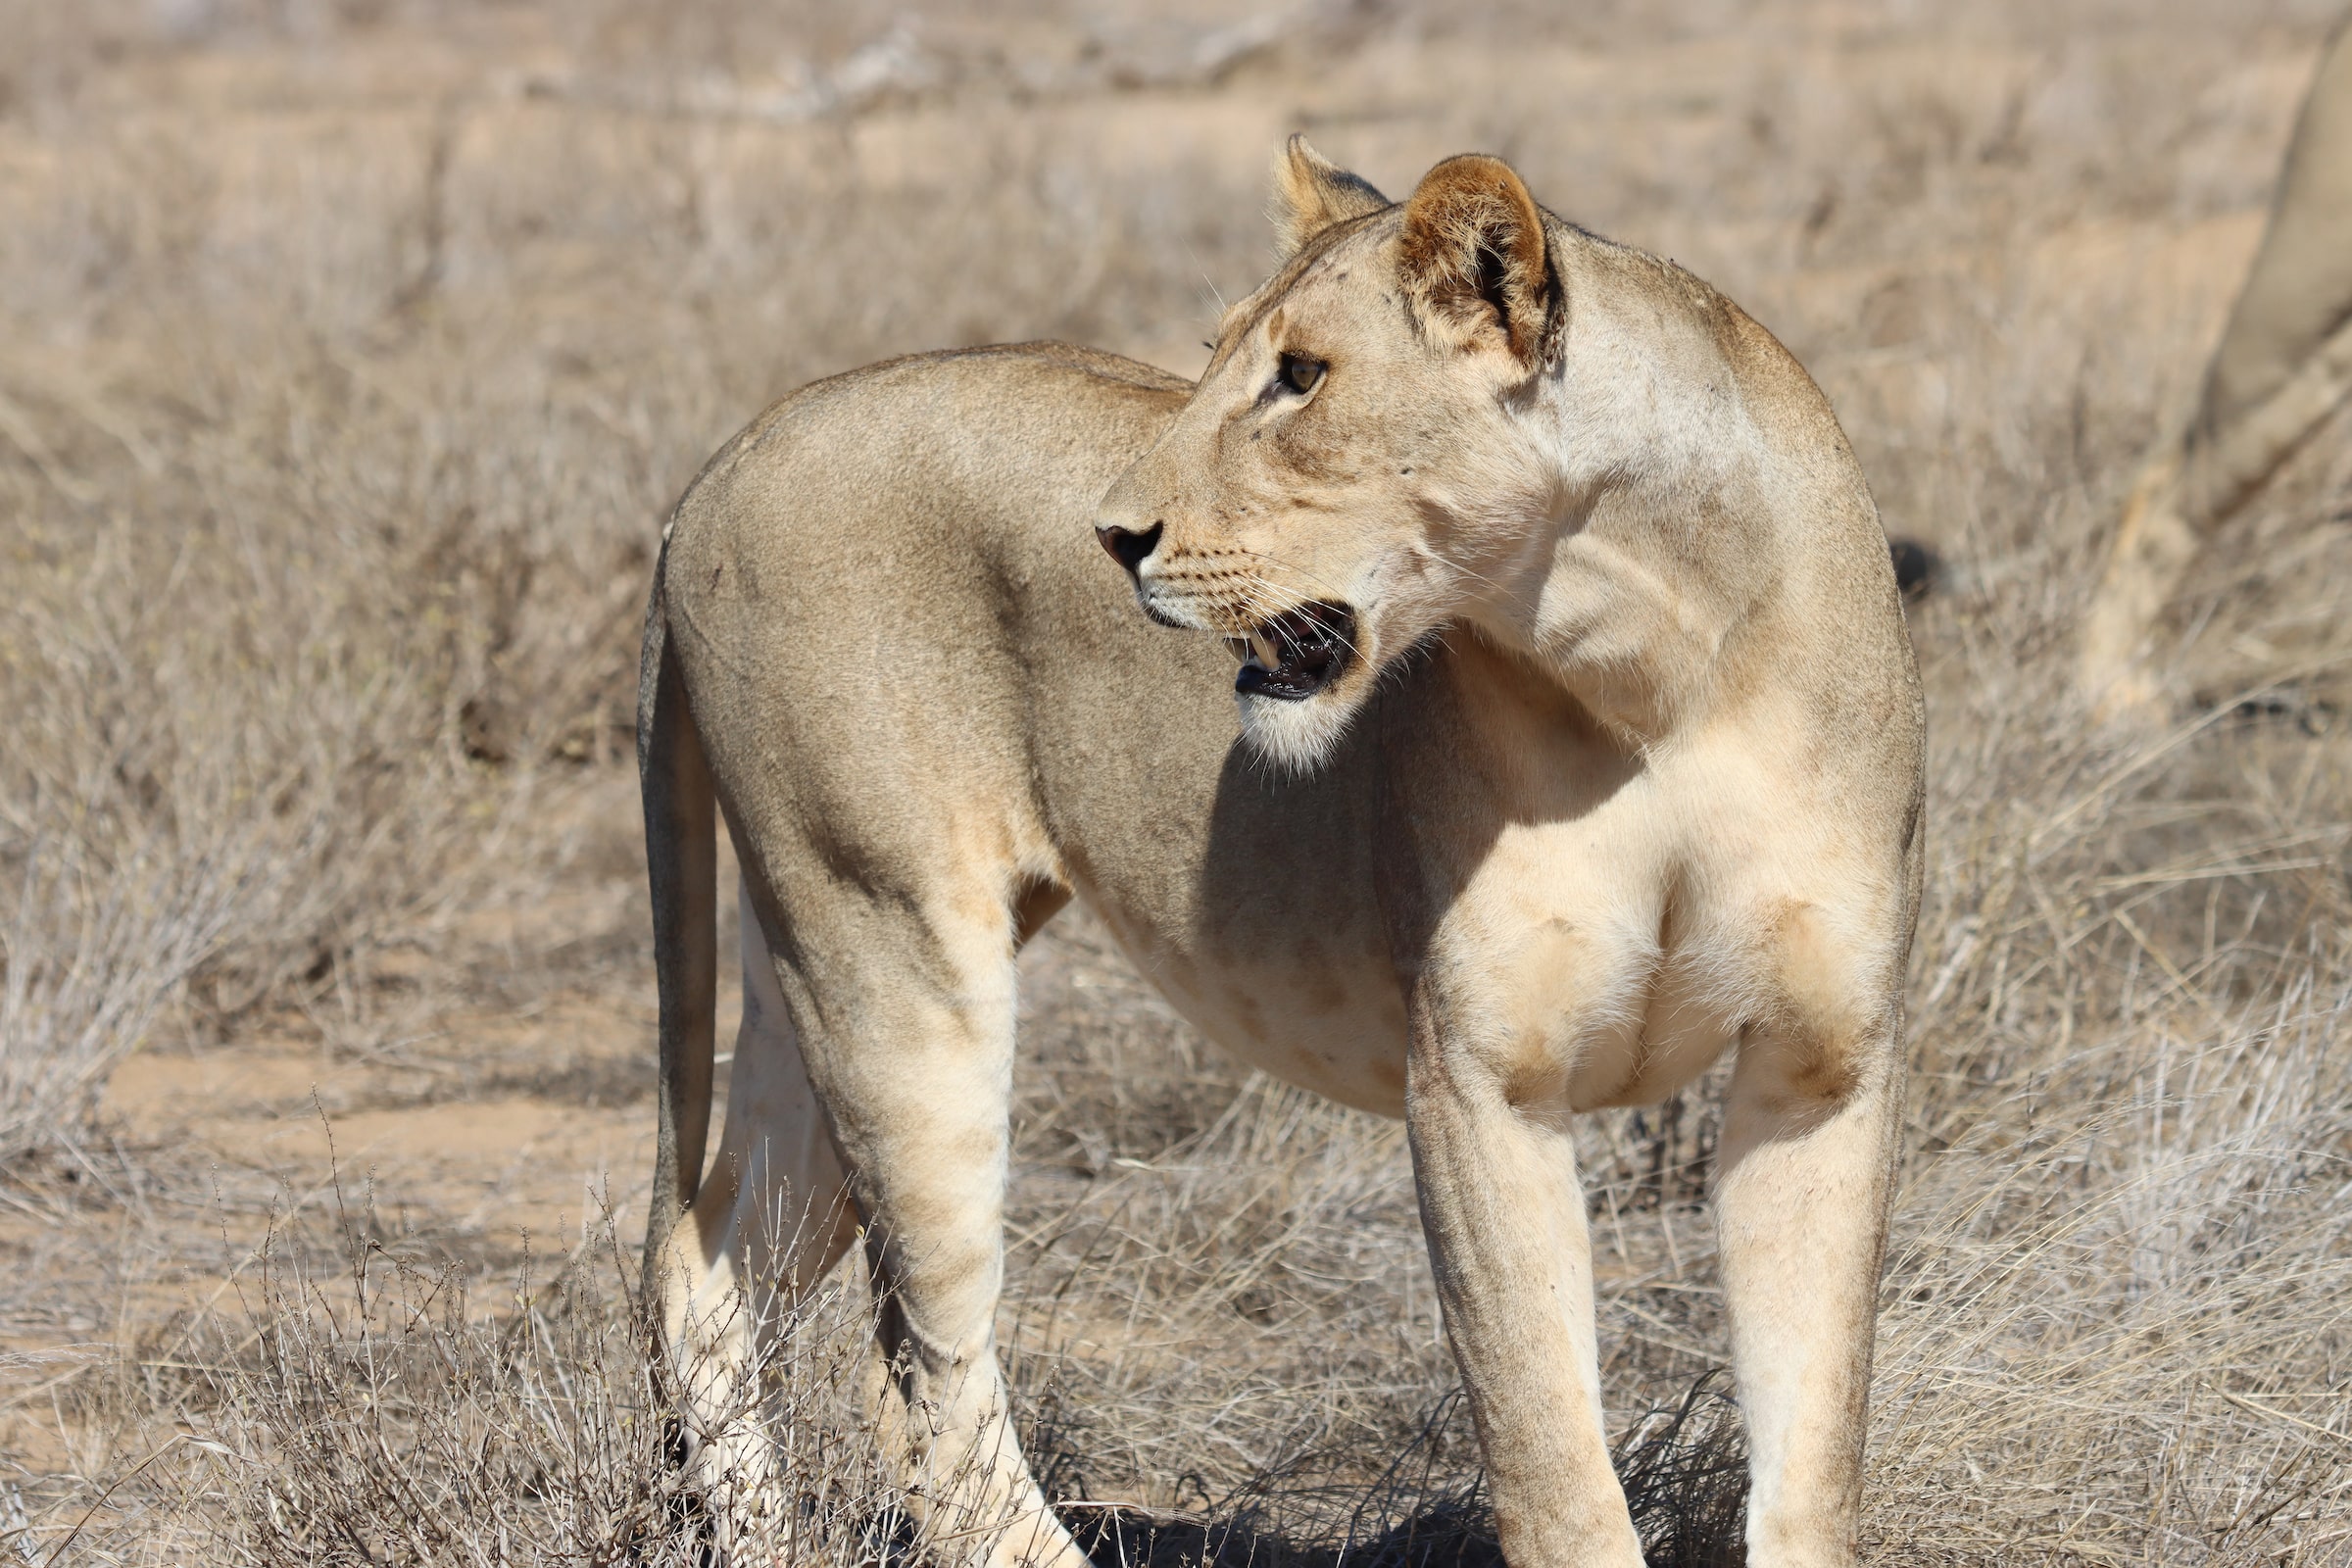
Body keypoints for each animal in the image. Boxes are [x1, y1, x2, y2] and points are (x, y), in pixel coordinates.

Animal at [639, 141, 1925, 1568]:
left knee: (713, 1275)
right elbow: (1555, 1466)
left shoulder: (1821, 1071)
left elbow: (1815, 1456)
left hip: (808, 956)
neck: (1655, 671)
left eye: (1300, 377)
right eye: (1215, 362)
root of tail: (723, 459)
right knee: (919, 1371)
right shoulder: (1479, 1082)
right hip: (894, 954)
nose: (1112, 538)